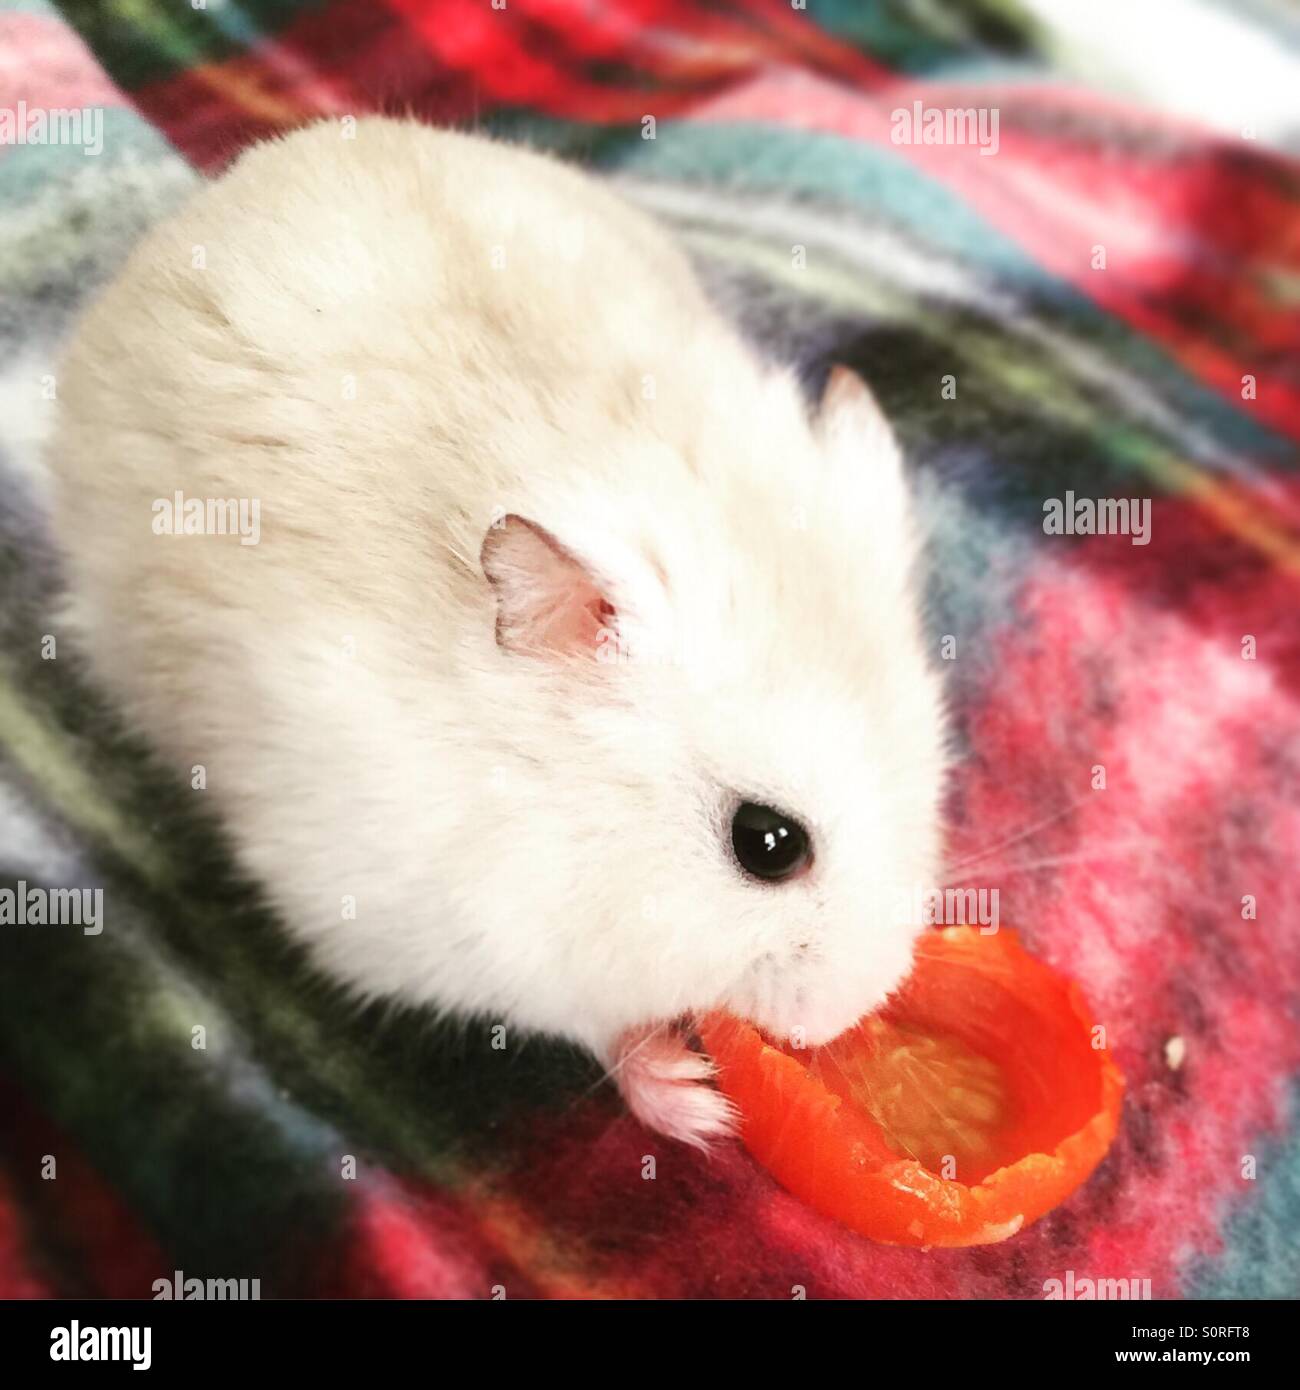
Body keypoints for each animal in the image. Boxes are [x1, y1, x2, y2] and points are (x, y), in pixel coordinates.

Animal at [45, 118, 947, 1147]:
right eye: (768, 844)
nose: (845, 1015)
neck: (566, 811)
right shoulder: (423, 924)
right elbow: (584, 1017)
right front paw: (697, 1106)